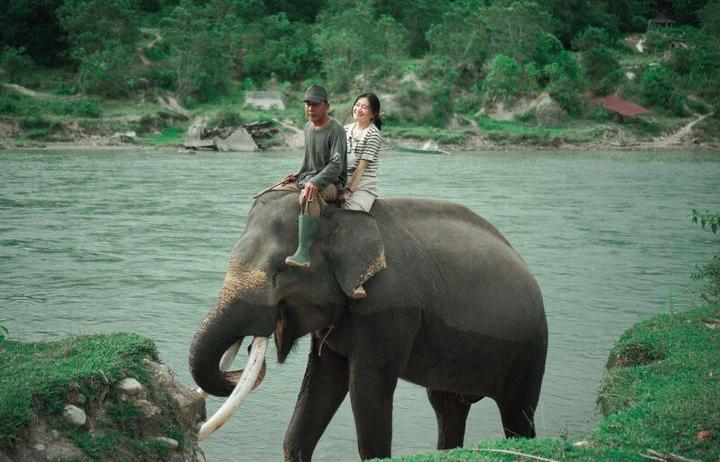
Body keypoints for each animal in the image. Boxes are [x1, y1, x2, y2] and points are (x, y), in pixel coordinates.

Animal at [188, 189, 548, 460]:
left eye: (280, 270)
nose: (244, 362)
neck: (339, 214)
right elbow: (321, 384)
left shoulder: (388, 311)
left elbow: (366, 388)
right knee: (447, 408)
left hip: (530, 349)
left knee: (517, 414)